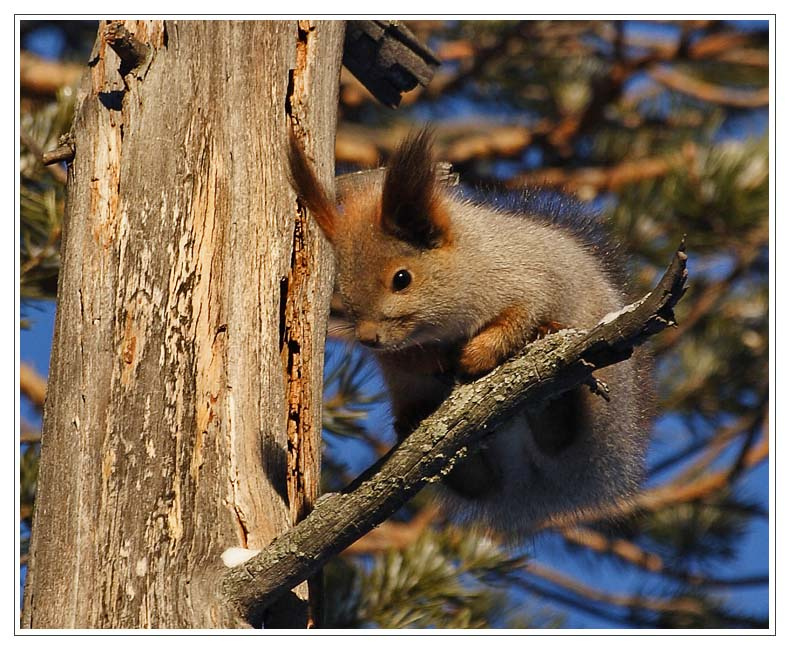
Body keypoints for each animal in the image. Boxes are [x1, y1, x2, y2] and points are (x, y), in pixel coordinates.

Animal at [287, 129, 653, 535]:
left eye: (402, 278)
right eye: (341, 288)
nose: (368, 338)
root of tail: (532, 482)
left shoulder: (527, 283)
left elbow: (514, 321)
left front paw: (475, 356)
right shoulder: (397, 355)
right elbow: (408, 359)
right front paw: (436, 360)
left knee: (561, 435)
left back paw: (552, 374)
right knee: (477, 480)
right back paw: (415, 421)